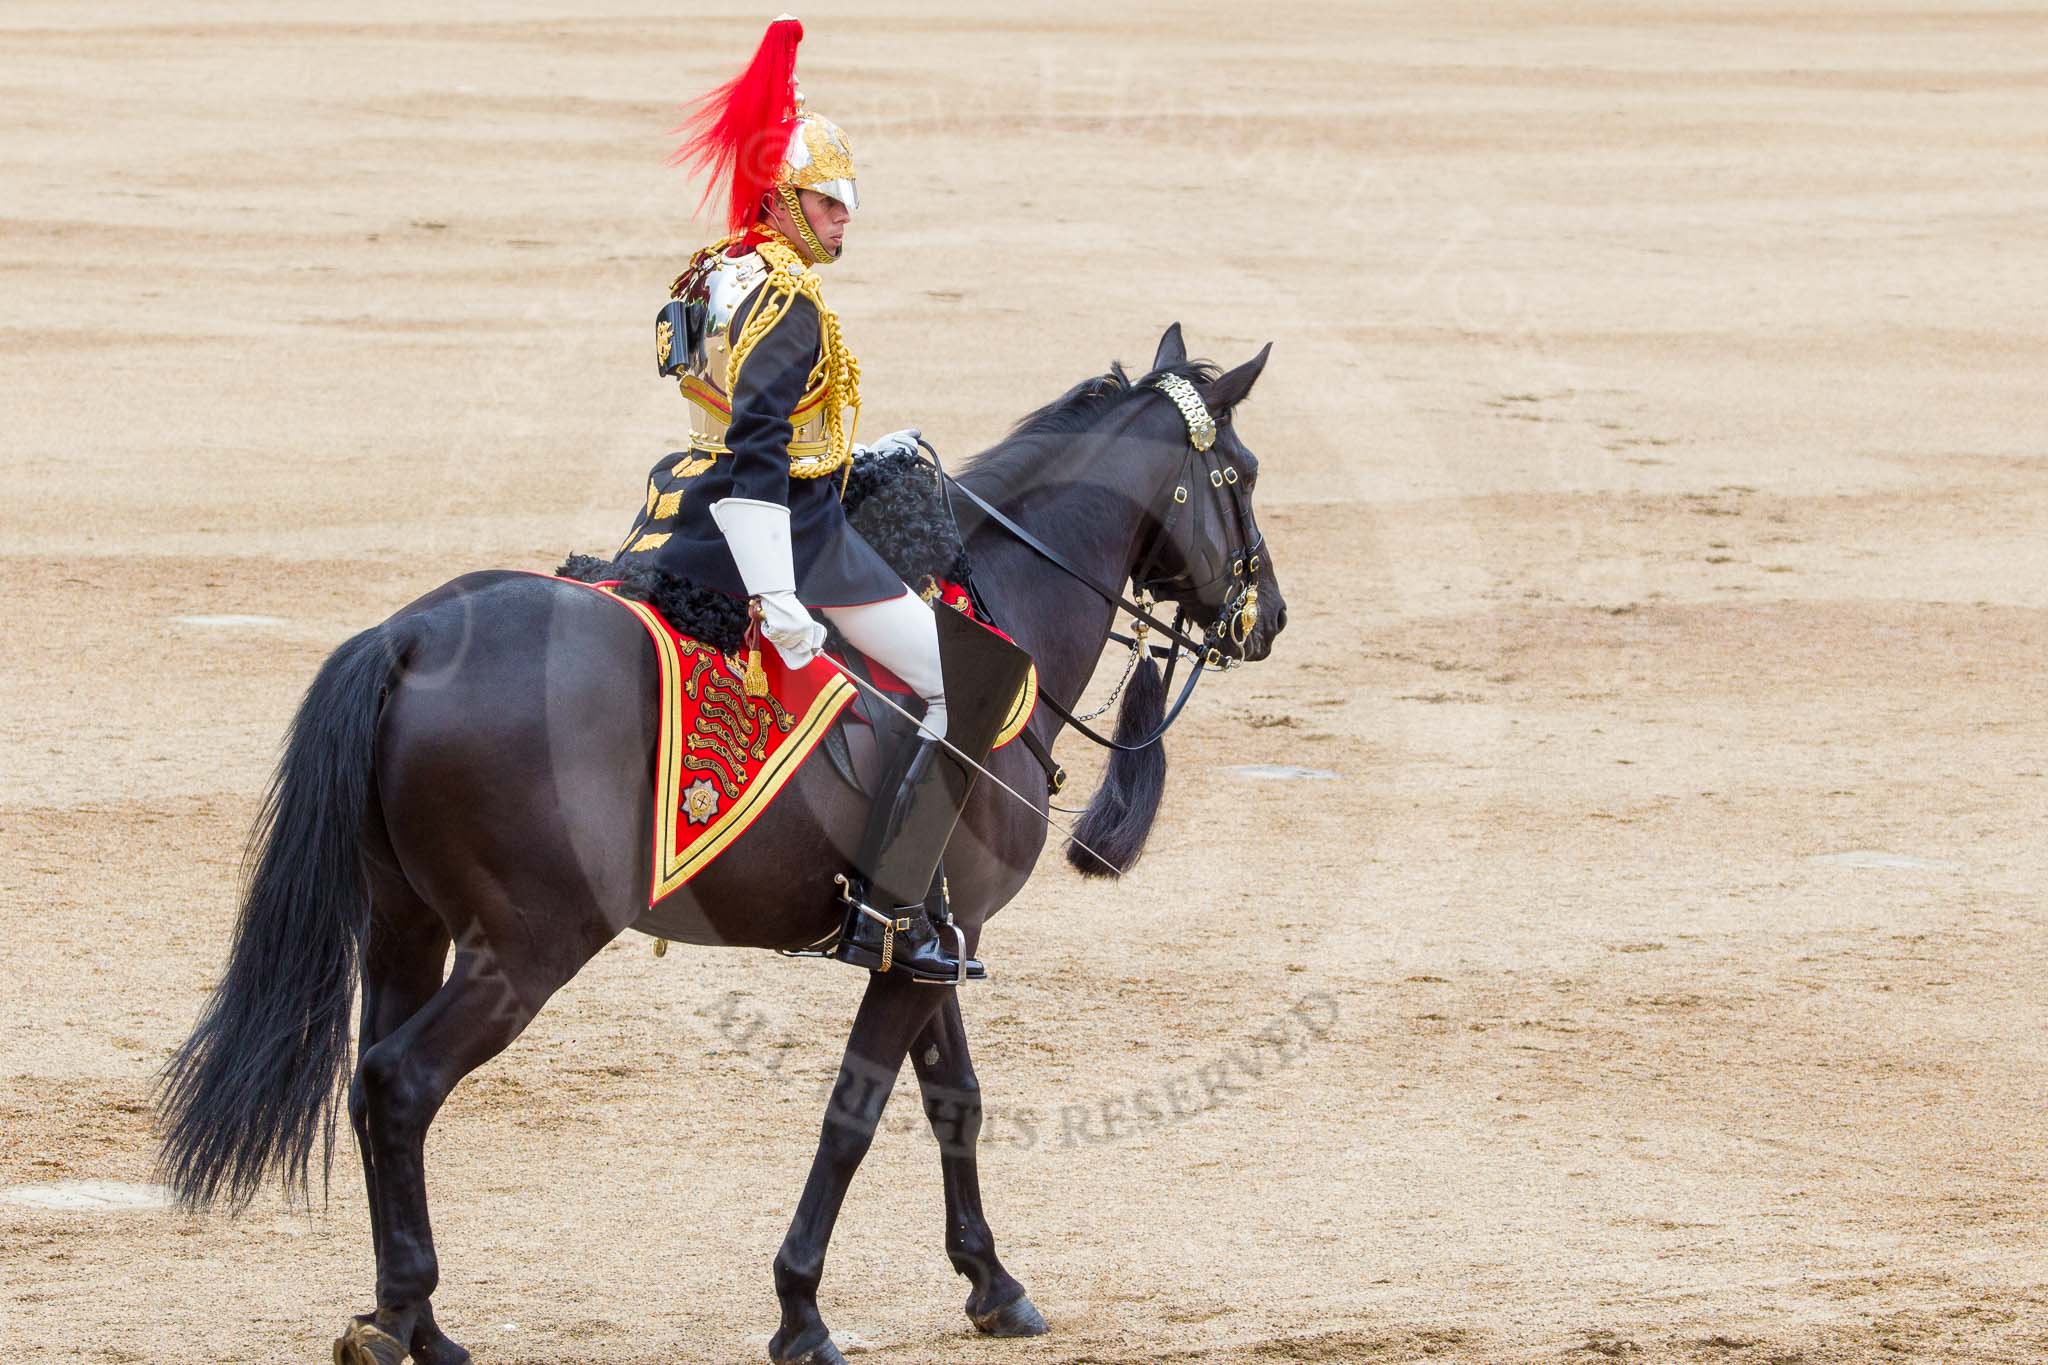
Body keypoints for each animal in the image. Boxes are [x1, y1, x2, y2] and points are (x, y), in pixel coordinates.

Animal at [155, 323, 1284, 1365]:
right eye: (1242, 472)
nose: (1266, 615)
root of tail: (413, 634)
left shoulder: (927, 942)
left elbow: (953, 1099)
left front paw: (992, 1284)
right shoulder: (913, 953)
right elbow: (854, 1113)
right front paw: (801, 1312)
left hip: (406, 928)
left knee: (368, 1085)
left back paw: (406, 1319)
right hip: (526, 949)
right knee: (400, 1084)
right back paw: (410, 1323)